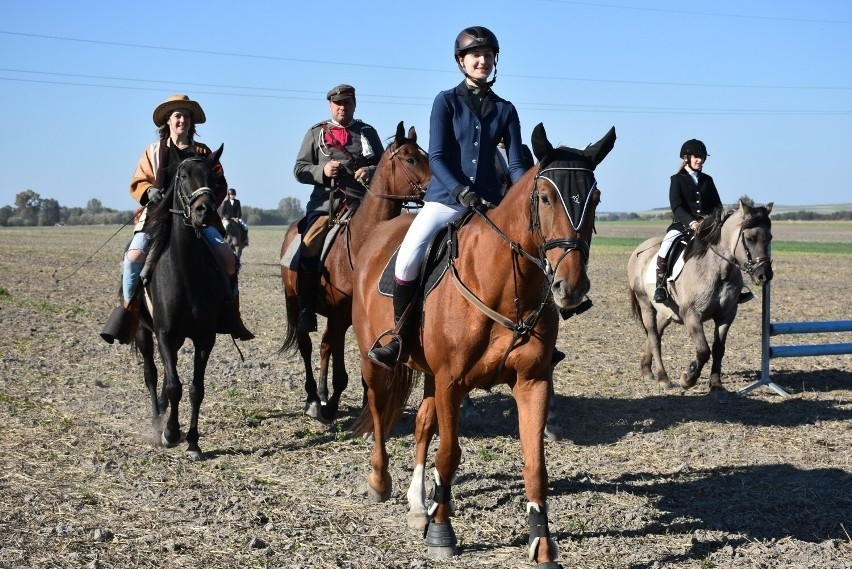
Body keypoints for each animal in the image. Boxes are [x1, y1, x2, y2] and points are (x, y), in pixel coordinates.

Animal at [135, 144, 226, 460]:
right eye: (183, 175)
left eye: (212, 176)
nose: (204, 210)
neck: (185, 272)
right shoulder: (163, 333)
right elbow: (174, 385)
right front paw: (171, 433)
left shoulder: (204, 337)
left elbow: (196, 388)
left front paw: (193, 442)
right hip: (143, 332)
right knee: (152, 374)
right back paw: (156, 420)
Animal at [280, 121, 430, 422]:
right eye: (410, 159)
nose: (435, 188)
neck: (364, 240)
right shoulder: (340, 317)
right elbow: (340, 369)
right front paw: (331, 406)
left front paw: (362, 406)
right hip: (297, 303)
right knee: (307, 345)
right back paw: (314, 399)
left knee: (324, 346)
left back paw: (322, 395)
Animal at [624, 199, 772, 390]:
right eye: (750, 239)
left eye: (770, 238)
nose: (764, 275)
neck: (718, 271)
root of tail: (639, 250)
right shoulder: (692, 315)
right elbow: (703, 350)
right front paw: (688, 378)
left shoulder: (726, 315)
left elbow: (718, 349)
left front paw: (715, 383)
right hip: (646, 304)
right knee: (654, 337)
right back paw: (663, 377)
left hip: (668, 311)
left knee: (656, 333)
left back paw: (647, 369)